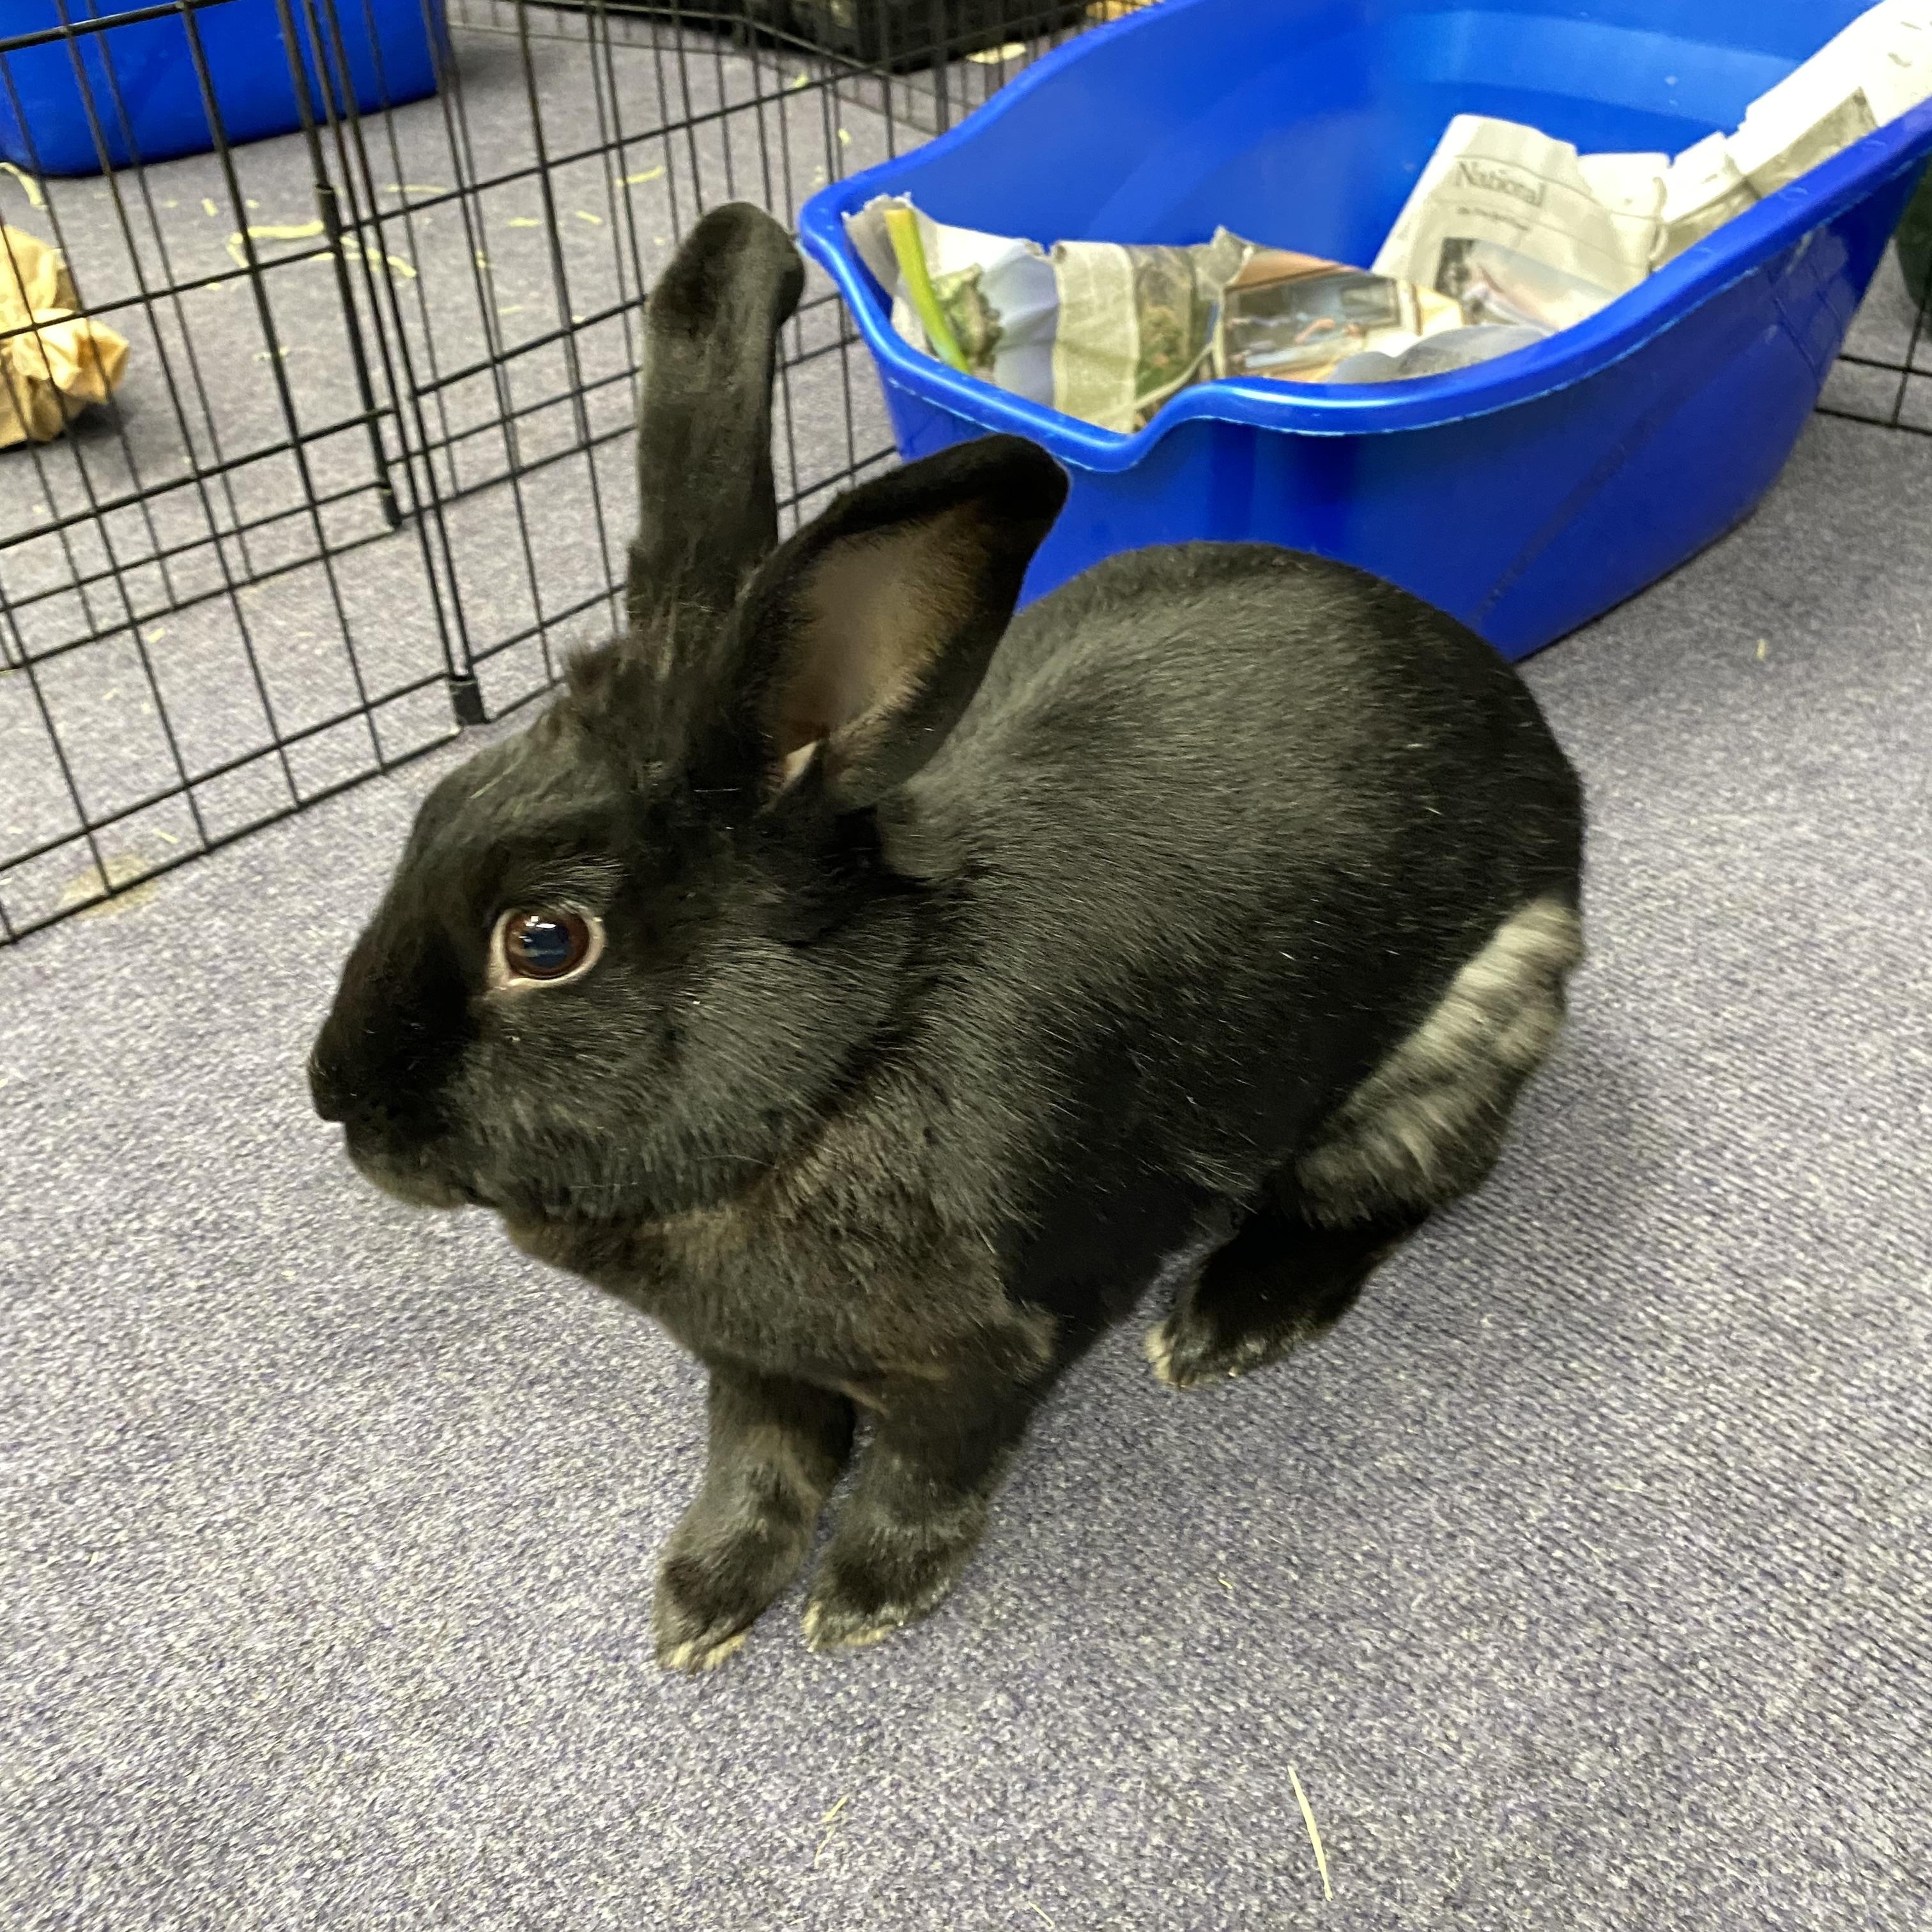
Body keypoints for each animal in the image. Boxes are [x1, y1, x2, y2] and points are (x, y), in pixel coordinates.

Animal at [309, 201, 1585, 1671]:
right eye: (428, 812)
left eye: (545, 939)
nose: (338, 1099)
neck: (837, 1063)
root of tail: (1541, 759)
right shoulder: (752, 1369)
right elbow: (761, 1462)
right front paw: (701, 1603)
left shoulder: (981, 1363)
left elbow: (926, 1474)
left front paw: (862, 1599)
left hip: (1470, 1015)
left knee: (1409, 1186)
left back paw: (1225, 1323)